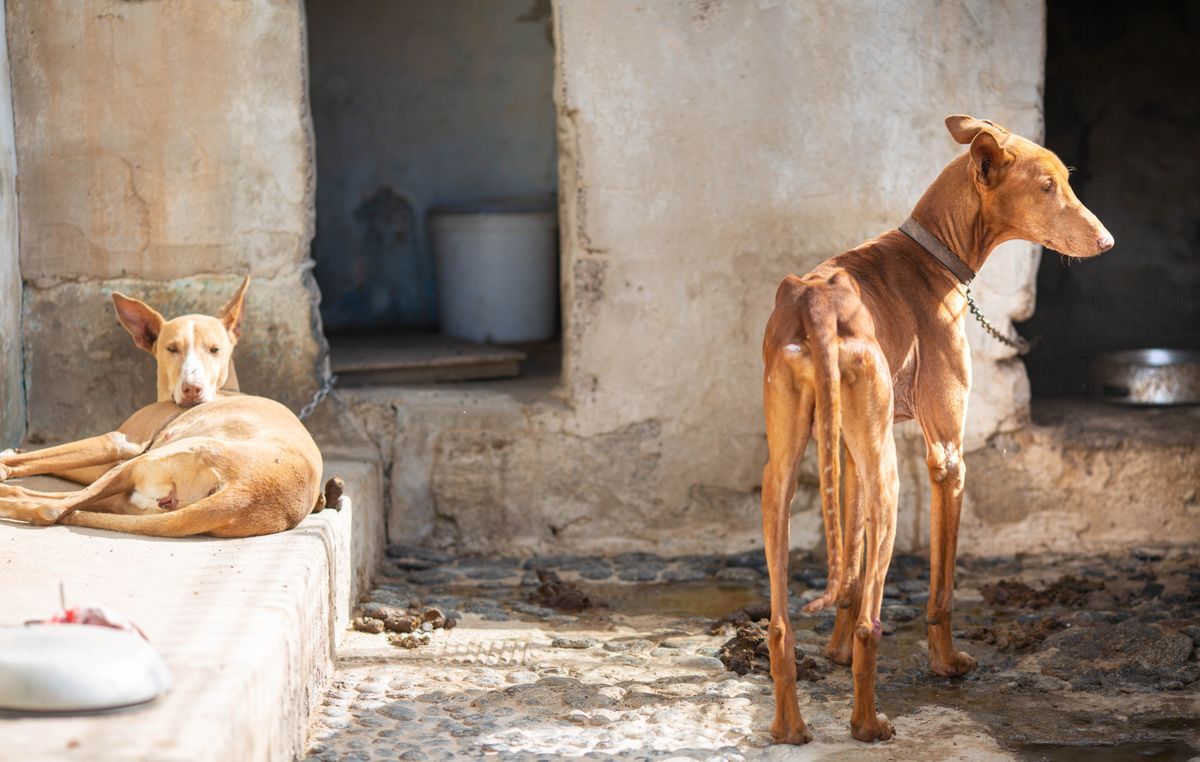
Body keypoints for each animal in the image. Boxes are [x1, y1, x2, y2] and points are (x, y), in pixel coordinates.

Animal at [1, 278, 333, 537]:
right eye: (172, 348)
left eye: (214, 349)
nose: (192, 389)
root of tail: (243, 494)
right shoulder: (111, 460)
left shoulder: (119, 442)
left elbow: (37, 458)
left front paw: (8, 460)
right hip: (129, 495)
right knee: (62, 502)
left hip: (139, 464)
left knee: (49, 507)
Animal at [758, 114, 1113, 744]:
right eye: (1047, 185)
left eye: (1065, 180)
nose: (1107, 242)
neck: (932, 253)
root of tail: (818, 303)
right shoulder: (947, 456)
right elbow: (941, 588)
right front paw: (945, 663)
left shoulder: (850, 453)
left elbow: (850, 570)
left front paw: (835, 652)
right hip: (893, 482)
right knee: (876, 622)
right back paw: (867, 723)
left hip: (788, 475)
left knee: (782, 622)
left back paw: (789, 726)